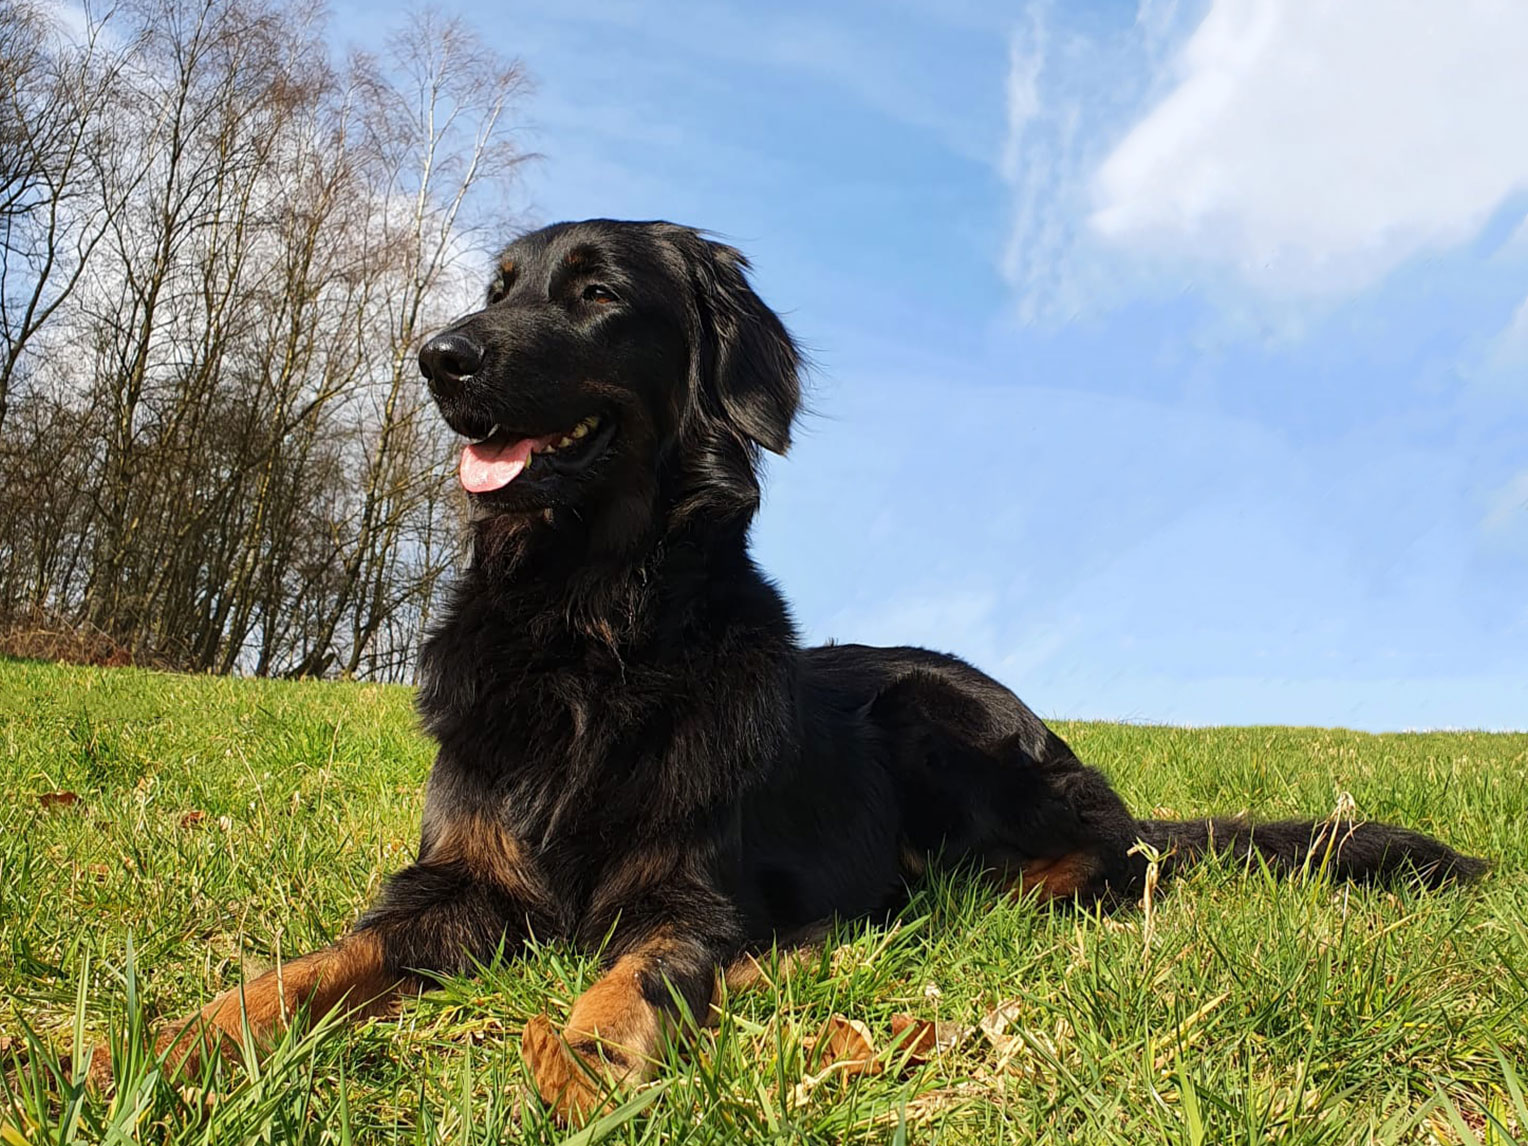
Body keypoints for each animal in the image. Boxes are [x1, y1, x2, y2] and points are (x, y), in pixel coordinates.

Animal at [145, 219, 1486, 1121]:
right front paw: (167, 1042)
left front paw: (584, 1062)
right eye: (499, 289)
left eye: (595, 293)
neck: (587, 625)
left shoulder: (690, 893)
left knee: (1096, 870)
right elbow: (315, 964)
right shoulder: (452, 882)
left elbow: (634, 976)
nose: (440, 357)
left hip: (939, 720)